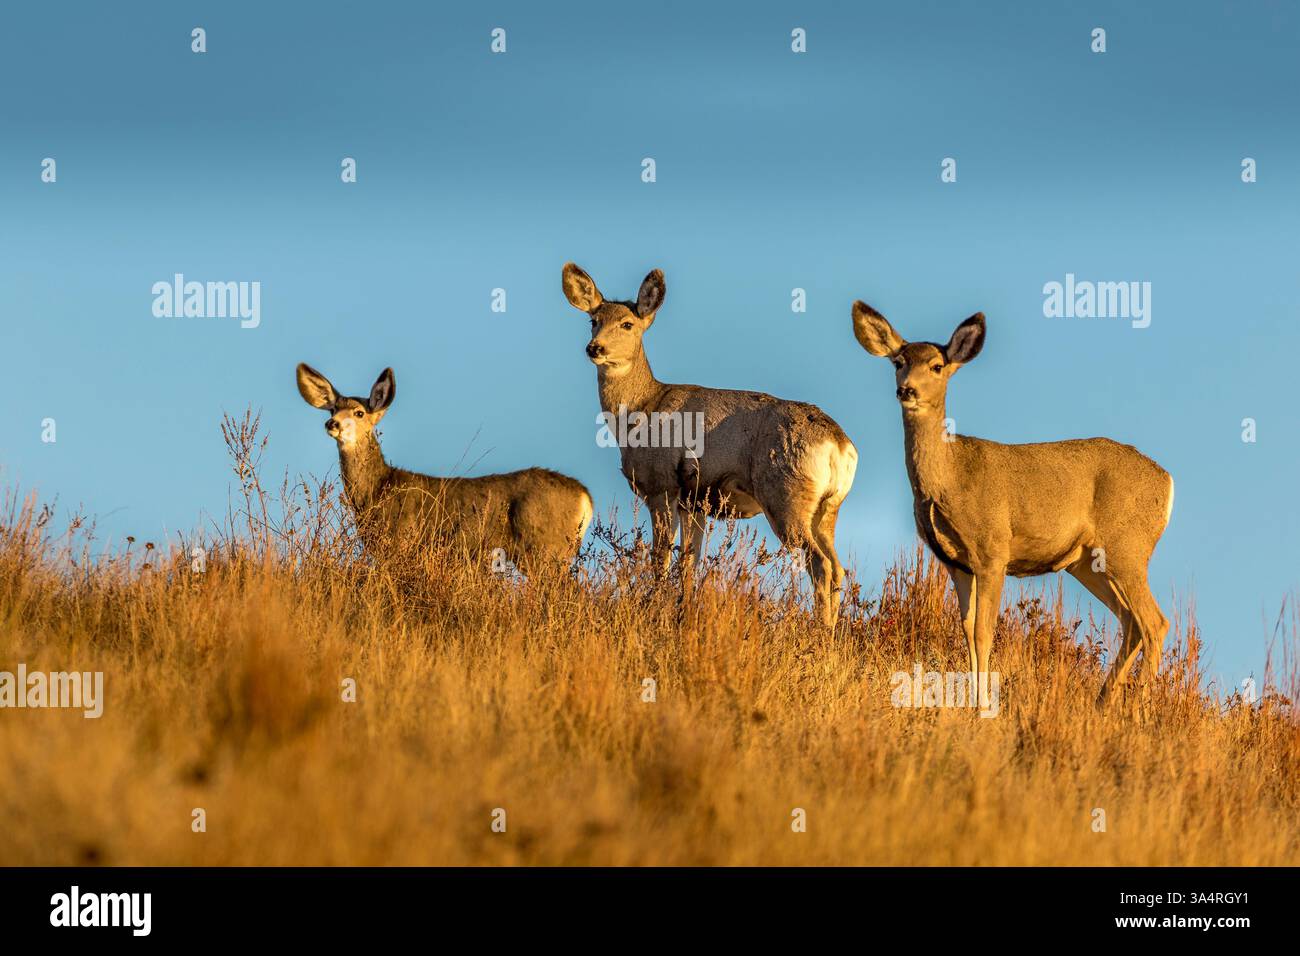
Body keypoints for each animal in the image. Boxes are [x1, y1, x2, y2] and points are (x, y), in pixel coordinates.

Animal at [296, 363, 593, 575]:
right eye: (332, 408)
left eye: (359, 413)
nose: (332, 424)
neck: (377, 491)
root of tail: (585, 498)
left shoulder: (400, 543)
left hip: (546, 549)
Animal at [561, 263, 859, 626]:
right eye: (593, 320)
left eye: (627, 324)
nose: (595, 348)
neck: (641, 411)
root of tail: (839, 444)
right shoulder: (694, 503)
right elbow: (689, 563)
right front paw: (683, 613)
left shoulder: (662, 486)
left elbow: (660, 560)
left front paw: (653, 609)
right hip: (828, 508)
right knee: (839, 567)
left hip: (785, 495)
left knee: (821, 564)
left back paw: (820, 632)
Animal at [850, 302, 1174, 703]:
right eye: (898, 361)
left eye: (937, 366)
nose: (906, 389)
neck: (949, 478)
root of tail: (1168, 481)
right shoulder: (956, 563)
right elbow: (967, 628)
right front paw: (973, 697)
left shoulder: (993, 549)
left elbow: (984, 630)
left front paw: (984, 701)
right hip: (1086, 562)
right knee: (1131, 621)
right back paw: (1104, 703)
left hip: (1127, 546)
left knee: (1155, 622)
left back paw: (1136, 703)